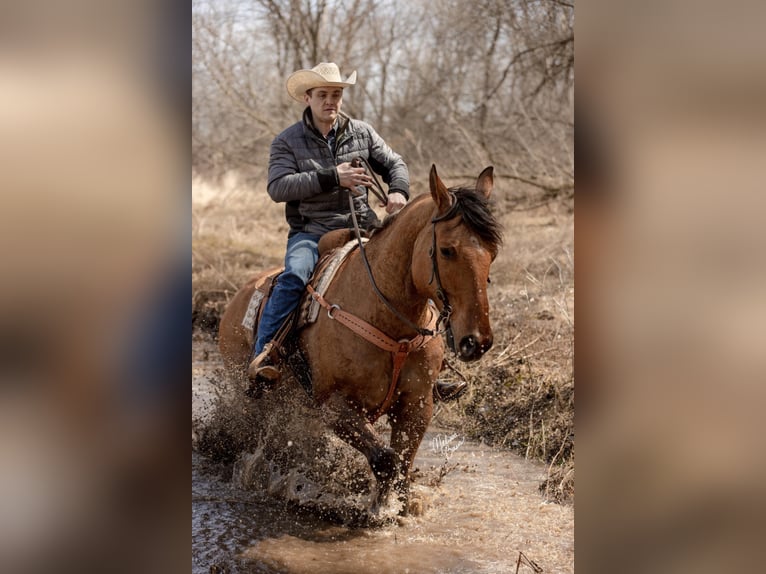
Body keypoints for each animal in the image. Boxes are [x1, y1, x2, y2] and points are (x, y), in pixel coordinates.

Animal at [218, 165, 504, 512]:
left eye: (493, 253)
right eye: (447, 250)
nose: (476, 341)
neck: (389, 322)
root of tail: (236, 299)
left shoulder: (417, 405)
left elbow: (403, 462)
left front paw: (400, 506)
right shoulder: (335, 406)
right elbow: (386, 460)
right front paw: (380, 509)